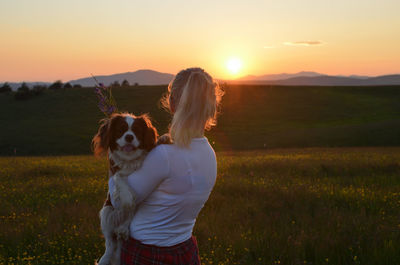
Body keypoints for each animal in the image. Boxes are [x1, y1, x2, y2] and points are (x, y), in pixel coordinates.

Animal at [92, 112, 158, 264]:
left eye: (137, 131)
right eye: (120, 130)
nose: (129, 137)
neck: (129, 160)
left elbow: (131, 208)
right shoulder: (115, 173)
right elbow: (120, 179)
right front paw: (127, 198)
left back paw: (123, 229)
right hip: (106, 211)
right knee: (110, 243)